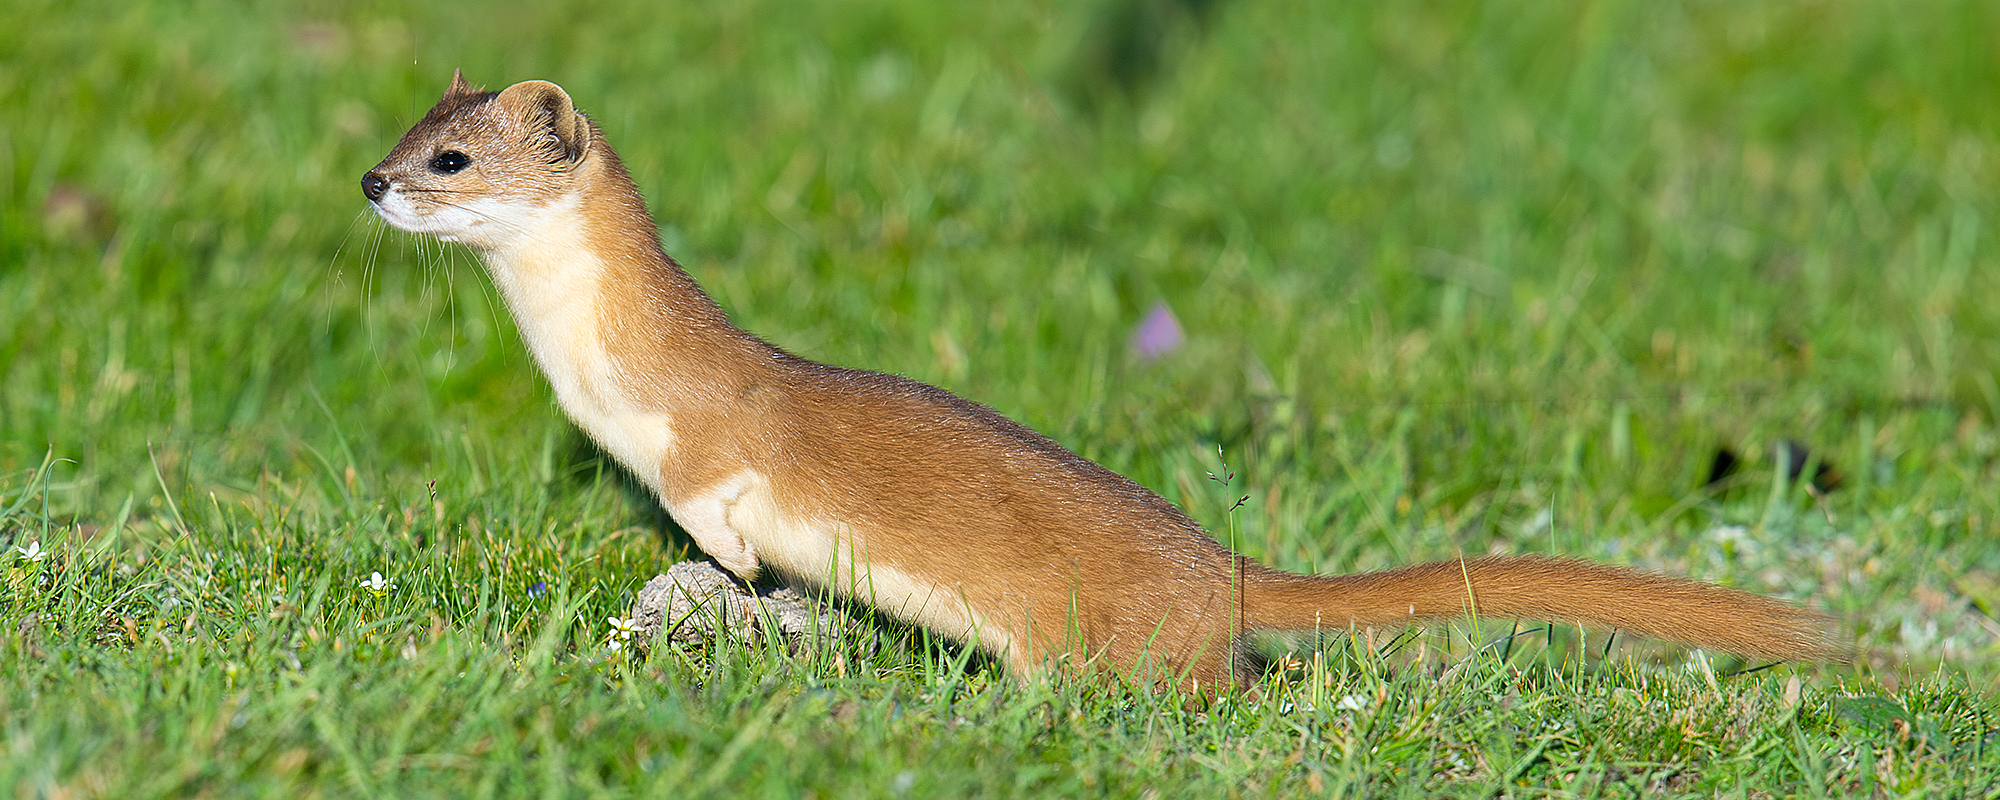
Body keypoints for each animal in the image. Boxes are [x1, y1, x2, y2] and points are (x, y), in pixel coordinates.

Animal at [364, 72, 1840, 692]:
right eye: (407, 128)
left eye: (451, 159)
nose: (372, 180)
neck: (603, 379)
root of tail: (1222, 570)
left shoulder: (715, 449)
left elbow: (726, 526)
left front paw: (723, 593)